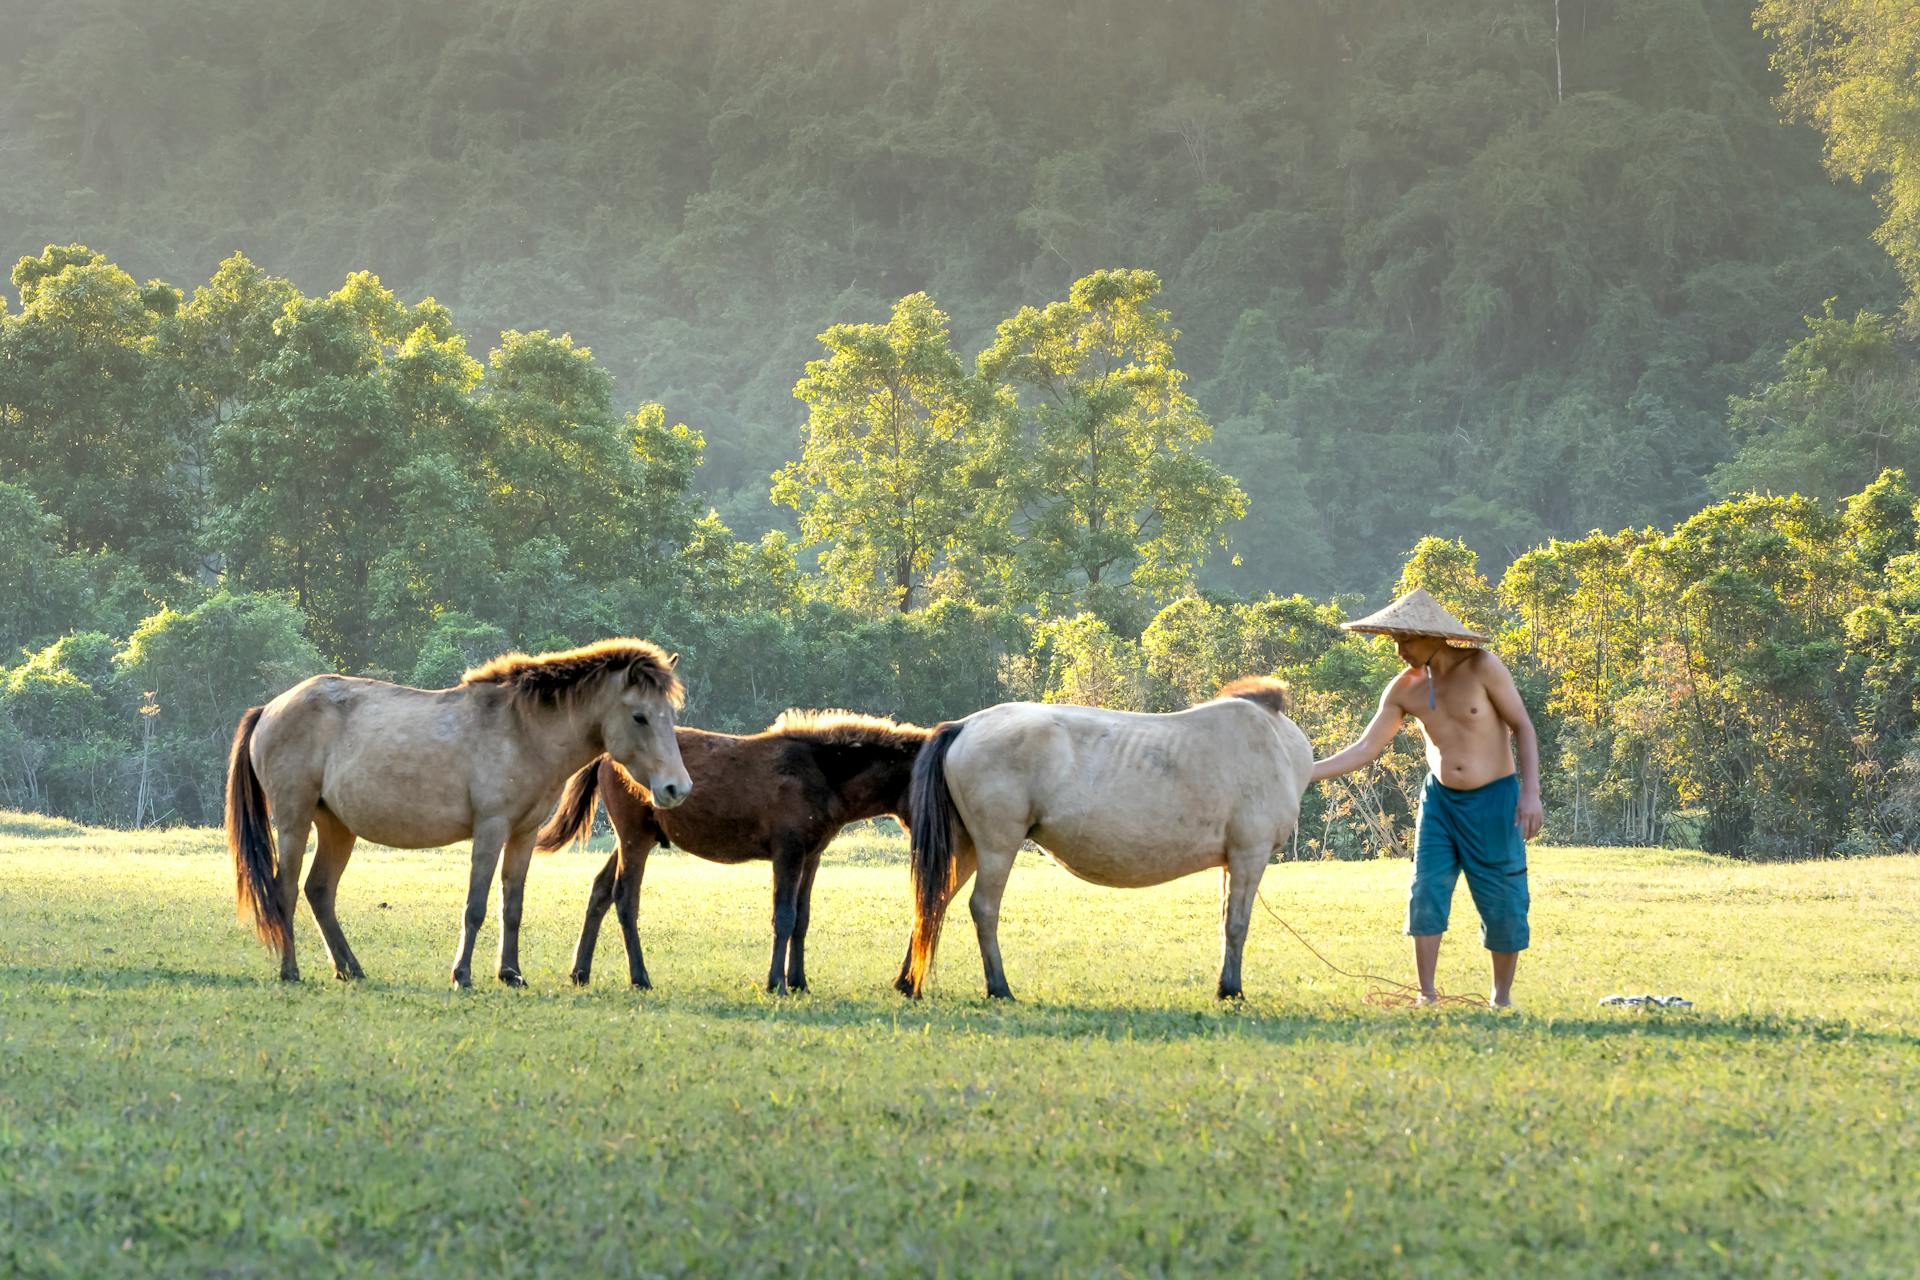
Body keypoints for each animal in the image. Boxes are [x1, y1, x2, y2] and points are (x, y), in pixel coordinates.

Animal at [226, 637, 691, 990]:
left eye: (670, 715)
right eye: (640, 716)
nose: (677, 788)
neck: (523, 730)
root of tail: (269, 709)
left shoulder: (523, 834)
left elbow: (512, 906)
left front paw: (511, 973)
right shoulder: (491, 828)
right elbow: (476, 906)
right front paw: (462, 974)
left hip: (337, 827)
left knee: (319, 891)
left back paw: (350, 969)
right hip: (294, 822)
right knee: (284, 891)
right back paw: (290, 971)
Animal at [533, 717, 929, 997]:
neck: (819, 771)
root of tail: (605, 756)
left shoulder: (811, 857)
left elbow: (802, 919)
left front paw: (799, 981)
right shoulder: (788, 853)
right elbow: (784, 916)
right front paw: (776, 983)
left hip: (633, 839)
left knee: (600, 889)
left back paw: (580, 972)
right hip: (635, 838)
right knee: (625, 898)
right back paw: (639, 977)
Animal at [894, 679, 1313, 997]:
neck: (1276, 743)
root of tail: (964, 725)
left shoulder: (1230, 862)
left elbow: (1226, 919)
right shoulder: (1249, 854)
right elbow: (1236, 924)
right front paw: (1231, 990)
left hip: (964, 845)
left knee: (933, 903)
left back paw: (908, 982)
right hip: (997, 845)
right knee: (982, 908)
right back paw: (999, 987)